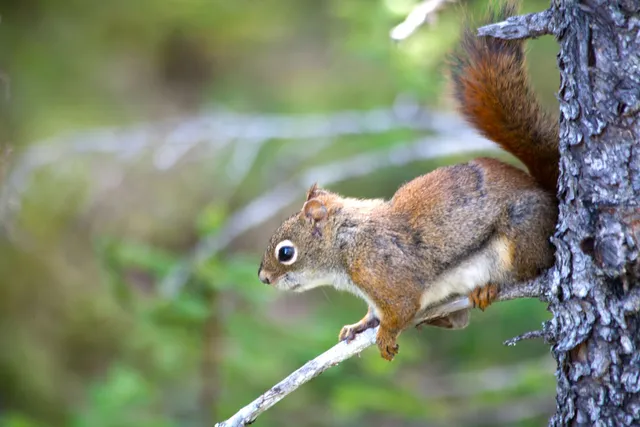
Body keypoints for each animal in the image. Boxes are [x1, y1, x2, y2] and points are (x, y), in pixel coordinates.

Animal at [257, 0, 559, 361]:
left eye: (286, 253)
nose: (263, 279)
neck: (349, 243)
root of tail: (550, 197)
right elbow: (375, 315)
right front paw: (359, 325)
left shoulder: (386, 276)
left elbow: (401, 309)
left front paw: (385, 335)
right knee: (458, 320)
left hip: (520, 236)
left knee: (532, 267)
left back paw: (489, 287)